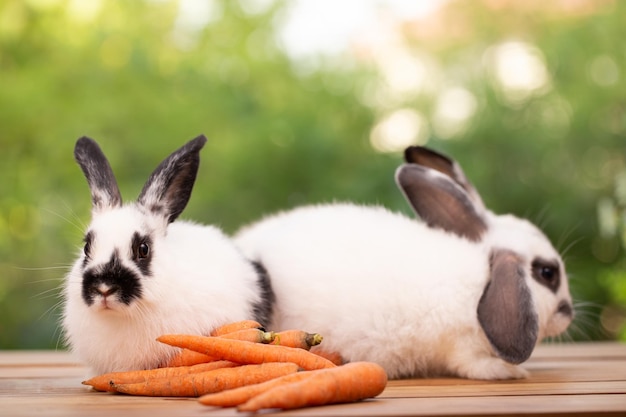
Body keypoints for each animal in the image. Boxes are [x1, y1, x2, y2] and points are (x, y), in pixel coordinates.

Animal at [235, 146, 576, 380]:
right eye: (547, 273)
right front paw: (513, 372)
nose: (569, 313)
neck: (483, 281)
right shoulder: (462, 346)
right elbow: (479, 367)